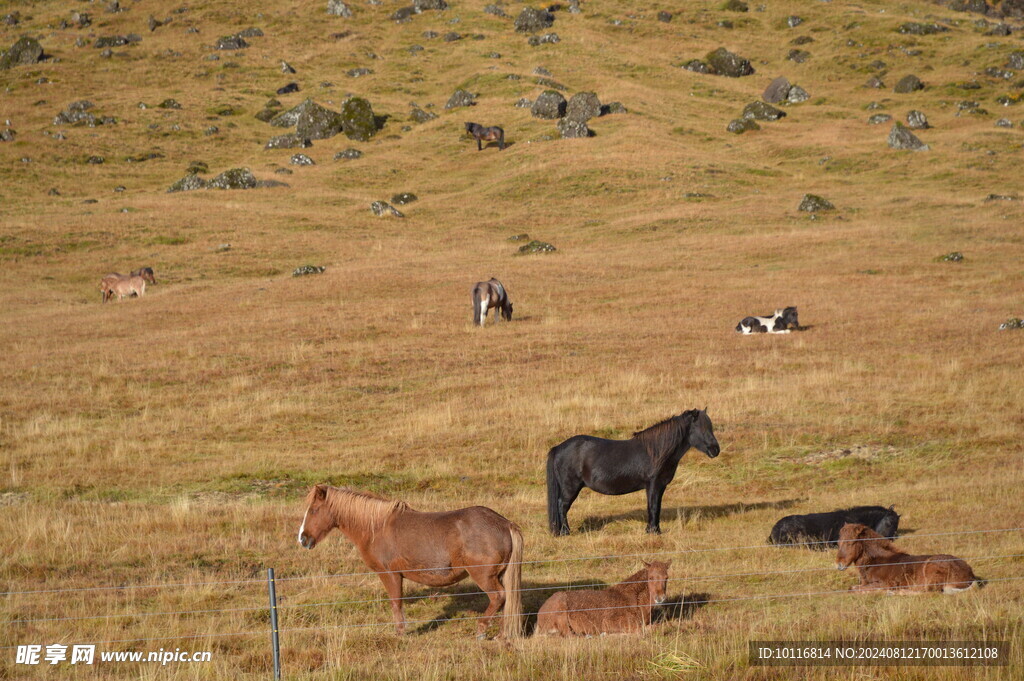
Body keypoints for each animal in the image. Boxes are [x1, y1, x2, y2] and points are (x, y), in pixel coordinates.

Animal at [294, 483, 520, 639]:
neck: (376, 528)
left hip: (483, 576)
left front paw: (400, 633)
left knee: (498, 597)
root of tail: (504, 523)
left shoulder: (390, 575)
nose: (303, 539)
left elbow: (396, 602)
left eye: (314, 510)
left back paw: (481, 630)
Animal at [536, 561, 671, 634]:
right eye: (651, 577)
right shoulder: (612, 623)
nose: (660, 597)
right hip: (561, 615)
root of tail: (539, 613)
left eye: (666, 577)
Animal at [544, 409, 720, 536]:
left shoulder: (660, 486)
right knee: (562, 506)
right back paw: (565, 532)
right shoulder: (653, 484)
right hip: (570, 487)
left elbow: (657, 506)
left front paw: (654, 529)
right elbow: (653, 506)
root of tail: (558, 447)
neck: (655, 451)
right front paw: (653, 532)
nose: (715, 450)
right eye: (701, 428)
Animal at [839, 522, 983, 593]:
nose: (839, 565)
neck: (875, 562)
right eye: (838, 543)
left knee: (928, 592)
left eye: (850, 543)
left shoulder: (885, 583)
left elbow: (854, 589)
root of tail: (970, 574)